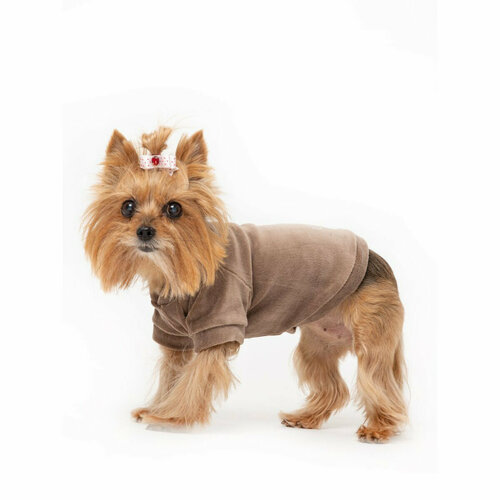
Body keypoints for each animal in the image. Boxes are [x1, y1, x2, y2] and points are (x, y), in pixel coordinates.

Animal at [83, 126, 407, 443]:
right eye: (127, 206)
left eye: (174, 209)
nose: (145, 231)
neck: (176, 269)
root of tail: (377, 259)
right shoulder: (172, 335)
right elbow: (171, 375)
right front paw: (156, 408)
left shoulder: (219, 324)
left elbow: (194, 378)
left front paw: (172, 417)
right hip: (318, 344)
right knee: (336, 389)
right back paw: (305, 418)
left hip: (370, 338)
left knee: (379, 383)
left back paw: (380, 427)